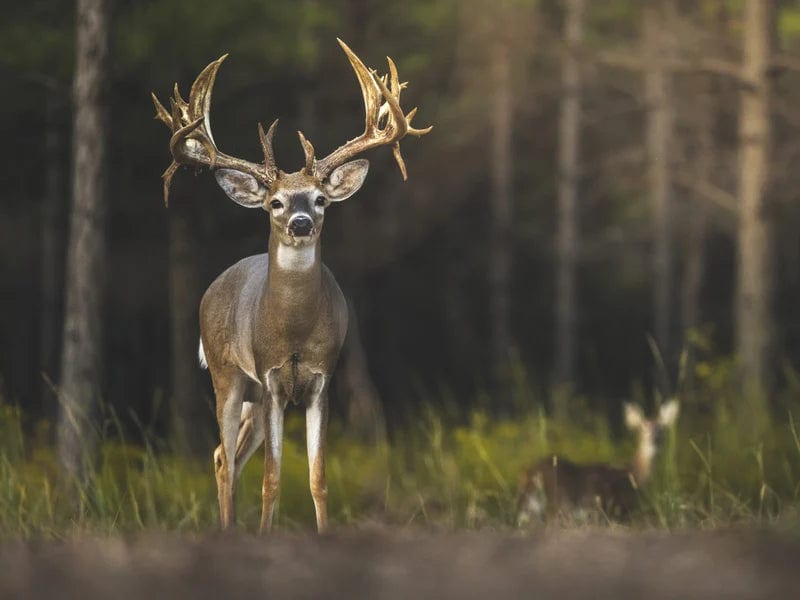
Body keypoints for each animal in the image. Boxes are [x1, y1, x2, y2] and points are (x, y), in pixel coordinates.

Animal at [152, 39, 431, 532]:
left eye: (320, 199)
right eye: (275, 202)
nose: (301, 223)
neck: (295, 331)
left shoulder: (321, 380)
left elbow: (318, 478)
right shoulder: (272, 379)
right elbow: (273, 478)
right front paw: (266, 533)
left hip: (252, 397)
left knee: (227, 455)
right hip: (228, 377)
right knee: (224, 456)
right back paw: (228, 529)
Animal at [516, 399, 679, 526]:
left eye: (662, 429)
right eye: (642, 428)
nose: (655, 439)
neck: (633, 474)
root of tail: (530, 475)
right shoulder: (618, 508)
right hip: (557, 501)